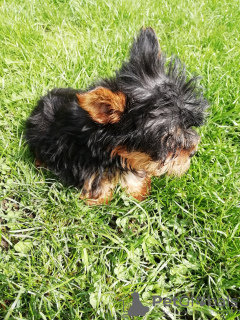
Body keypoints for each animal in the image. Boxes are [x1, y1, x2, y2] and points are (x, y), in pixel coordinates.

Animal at [25, 27, 207, 204]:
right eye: (168, 139)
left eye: (187, 125)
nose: (192, 152)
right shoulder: (84, 160)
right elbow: (97, 179)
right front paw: (99, 199)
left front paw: (138, 192)